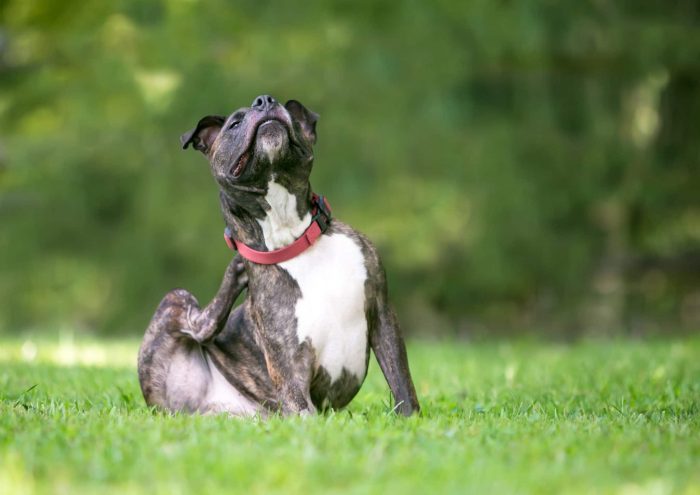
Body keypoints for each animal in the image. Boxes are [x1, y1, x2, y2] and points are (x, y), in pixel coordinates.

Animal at [139, 95, 418, 416]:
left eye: (291, 114)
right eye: (235, 123)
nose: (264, 100)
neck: (293, 240)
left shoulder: (383, 315)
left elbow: (402, 385)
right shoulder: (290, 370)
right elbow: (305, 412)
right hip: (174, 300)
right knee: (199, 325)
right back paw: (236, 274)